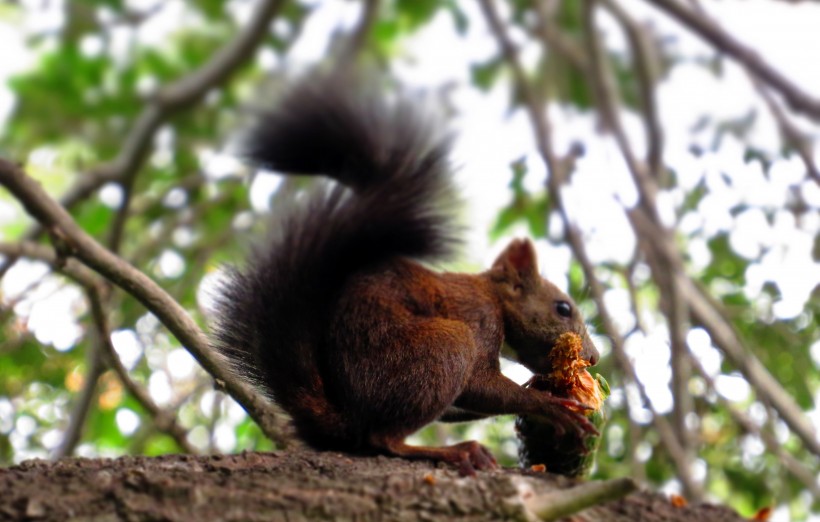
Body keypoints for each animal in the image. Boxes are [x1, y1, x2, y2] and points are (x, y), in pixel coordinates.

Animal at [211, 73, 596, 476]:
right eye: (563, 308)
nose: (594, 358)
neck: (493, 297)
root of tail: (347, 417)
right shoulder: (478, 317)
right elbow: (478, 384)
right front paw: (551, 407)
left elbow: (461, 404)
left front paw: (541, 388)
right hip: (441, 348)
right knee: (383, 439)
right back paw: (453, 451)